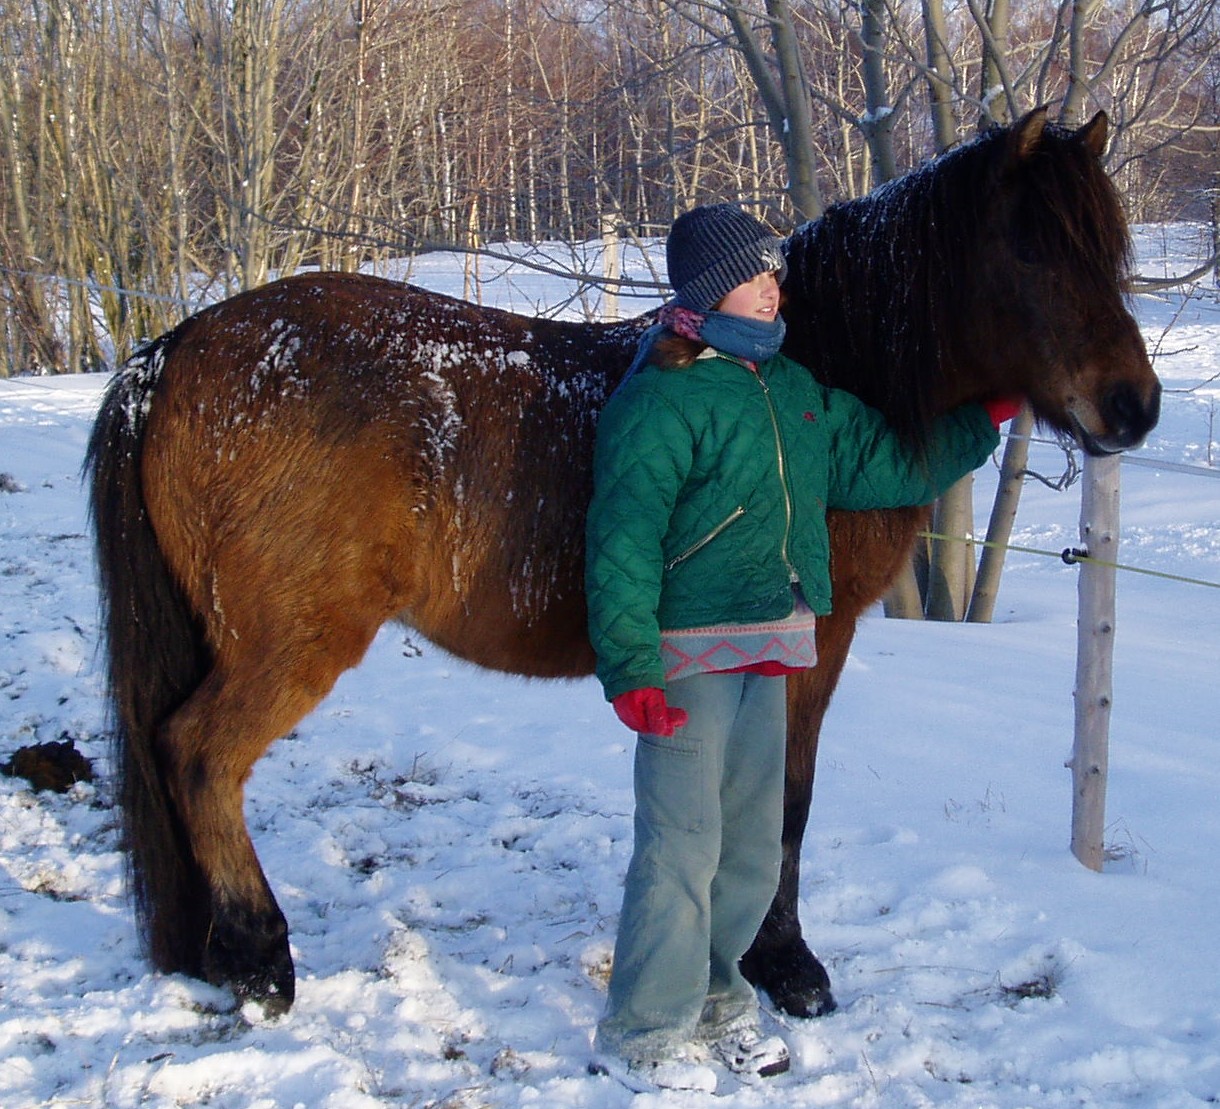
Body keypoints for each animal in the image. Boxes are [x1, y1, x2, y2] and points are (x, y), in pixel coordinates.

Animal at [88, 107, 1161, 1015]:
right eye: (1031, 246)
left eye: (1110, 248)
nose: (1135, 405)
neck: (807, 372)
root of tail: (174, 347)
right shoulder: (811, 641)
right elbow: (788, 802)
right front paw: (787, 966)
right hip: (289, 643)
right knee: (199, 754)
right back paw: (261, 958)